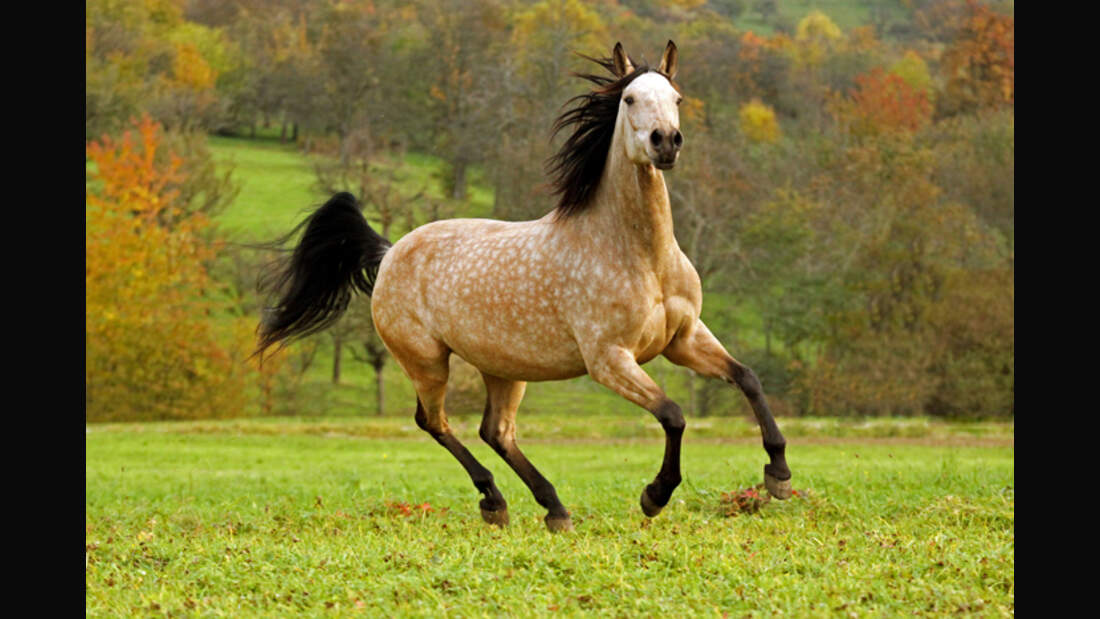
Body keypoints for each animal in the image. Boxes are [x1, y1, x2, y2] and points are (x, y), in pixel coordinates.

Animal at [257, 39, 792, 532]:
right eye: (629, 99)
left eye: (677, 97)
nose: (666, 142)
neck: (640, 255)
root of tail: (389, 252)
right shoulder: (609, 360)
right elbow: (674, 414)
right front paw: (655, 495)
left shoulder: (684, 338)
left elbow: (747, 377)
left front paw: (779, 475)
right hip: (426, 360)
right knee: (434, 422)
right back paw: (496, 500)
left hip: (503, 367)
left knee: (496, 432)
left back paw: (552, 508)